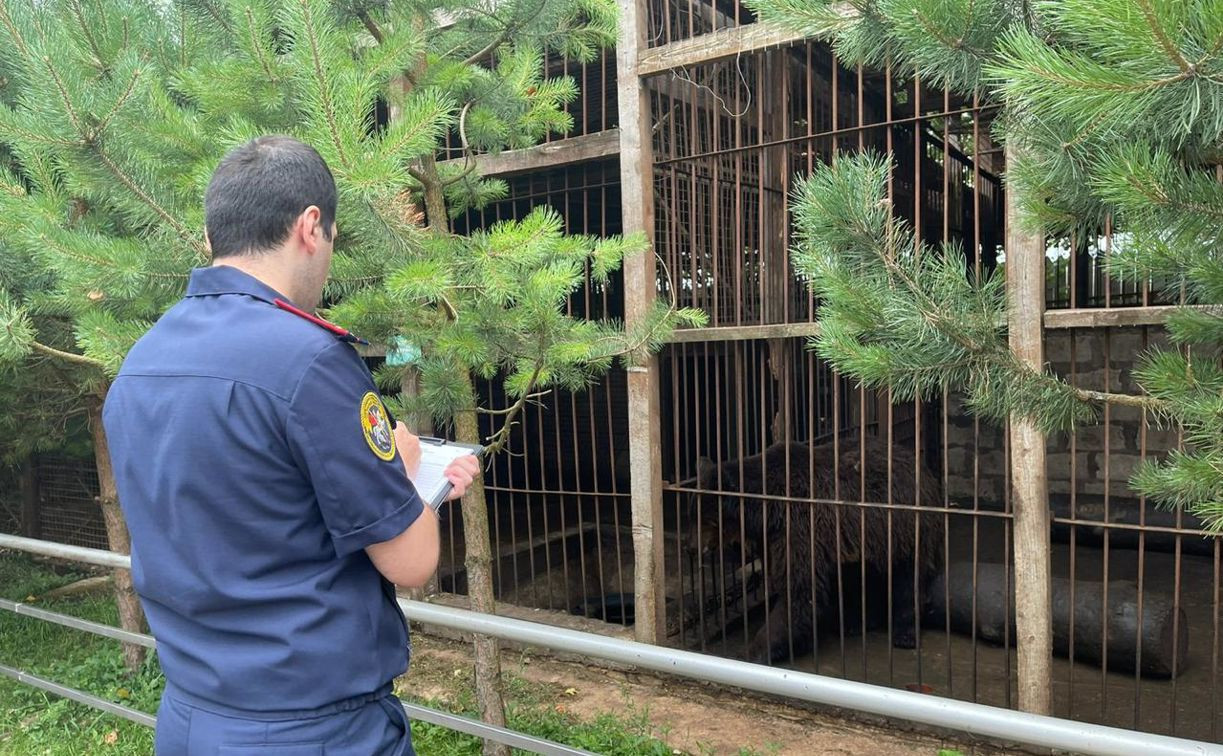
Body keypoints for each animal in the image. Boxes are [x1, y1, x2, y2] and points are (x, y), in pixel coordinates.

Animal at [699, 435, 944, 660]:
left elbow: (799, 592)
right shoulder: (772, 537)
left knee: (907, 579)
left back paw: (904, 634)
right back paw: (857, 622)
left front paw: (757, 650)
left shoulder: (800, 525)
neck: (765, 509)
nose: (695, 547)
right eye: (695, 515)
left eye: (704, 519)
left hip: (902, 529)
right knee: (865, 576)